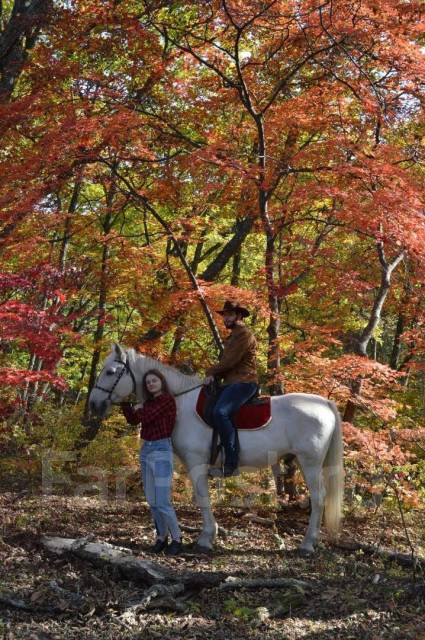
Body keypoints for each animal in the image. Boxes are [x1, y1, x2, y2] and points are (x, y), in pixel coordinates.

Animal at [88, 344, 342, 556]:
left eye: (110, 372)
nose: (93, 404)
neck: (178, 403)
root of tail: (325, 404)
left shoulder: (196, 463)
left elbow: (202, 498)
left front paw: (206, 538)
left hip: (309, 463)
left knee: (318, 498)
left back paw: (307, 544)